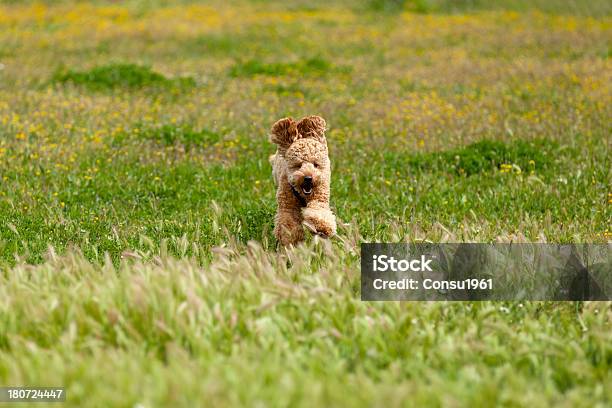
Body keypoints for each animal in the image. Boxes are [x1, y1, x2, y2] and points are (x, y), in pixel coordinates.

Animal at [270, 116, 338, 247]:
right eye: (298, 165)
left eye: (315, 164)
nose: (308, 178)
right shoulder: (288, 205)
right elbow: (288, 222)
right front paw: (291, 239)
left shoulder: (319, 197)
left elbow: (319, 212)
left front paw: (322, 228)